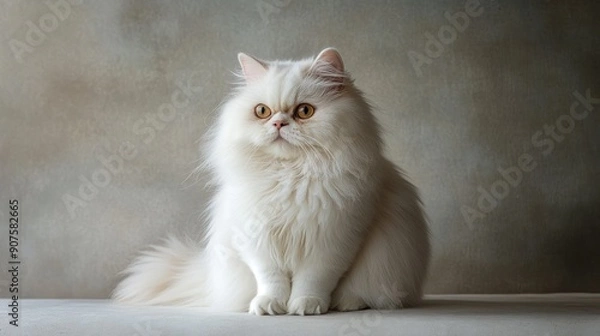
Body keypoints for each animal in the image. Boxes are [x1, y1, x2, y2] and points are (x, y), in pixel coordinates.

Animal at [113, 47, 432, 316]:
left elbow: (313, 280)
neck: (288, 176)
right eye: (262, 111)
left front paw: (306, 306)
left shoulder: (334, 239)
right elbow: (271, 280)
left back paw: (345, 303)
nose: (278, 123)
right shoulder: (256, 240)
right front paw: (269, 306)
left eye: (304, 111)